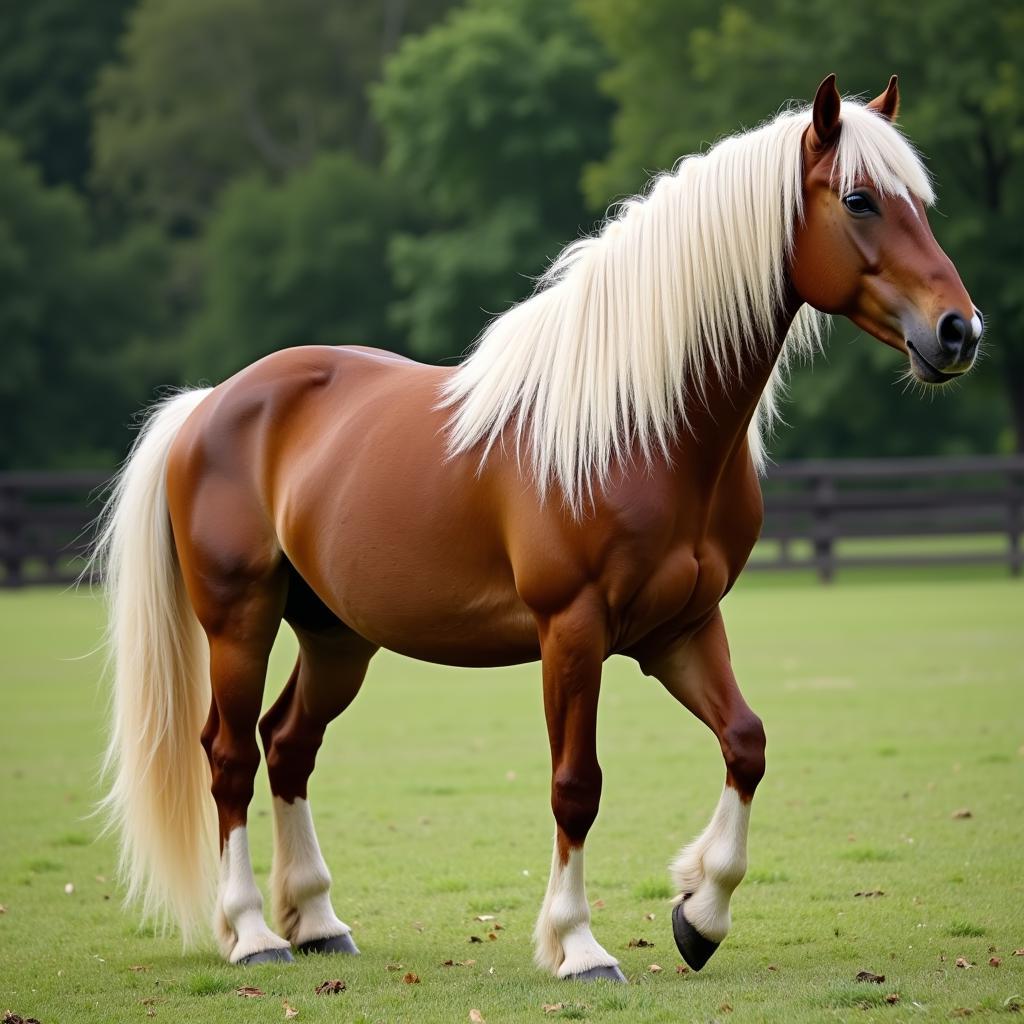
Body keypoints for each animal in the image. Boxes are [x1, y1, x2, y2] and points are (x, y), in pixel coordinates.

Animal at [96, 74, 983, 983]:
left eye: (921, 202)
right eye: (860, 199)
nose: (960, 331)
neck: (644, 427)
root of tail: (211, 403)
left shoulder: (682, 629)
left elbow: (747, 744)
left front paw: (699, 912)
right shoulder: (573, 632)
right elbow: (576, 786)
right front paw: (578, 944)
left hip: (337, 637)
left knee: (288, 745)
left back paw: (316, 921)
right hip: (240, 621)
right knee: (231, 757)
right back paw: (253, 934)